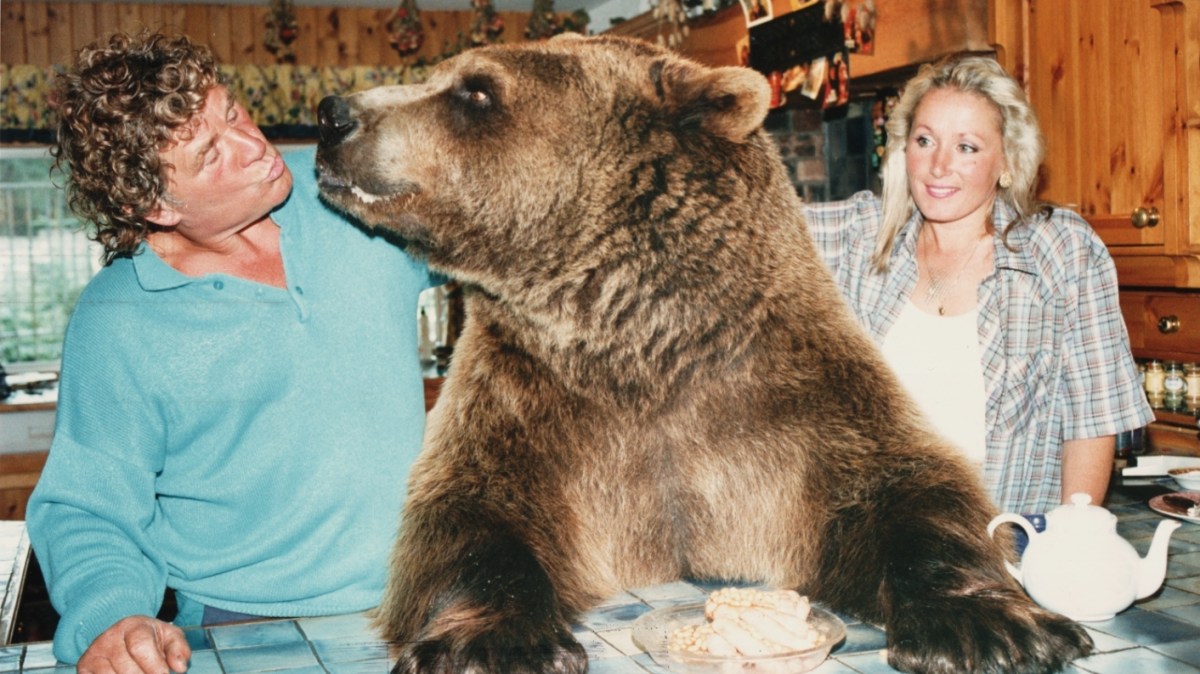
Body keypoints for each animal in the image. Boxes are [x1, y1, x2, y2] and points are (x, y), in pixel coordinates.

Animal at [313, 34, 1093, 674]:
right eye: (447, 76)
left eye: (474, 89)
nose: (332, 114)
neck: (638, 339)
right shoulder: (530, 397)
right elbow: (466, 512)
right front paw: (496, 643)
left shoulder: (782, 392)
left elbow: (907, 485)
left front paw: (990, 628)